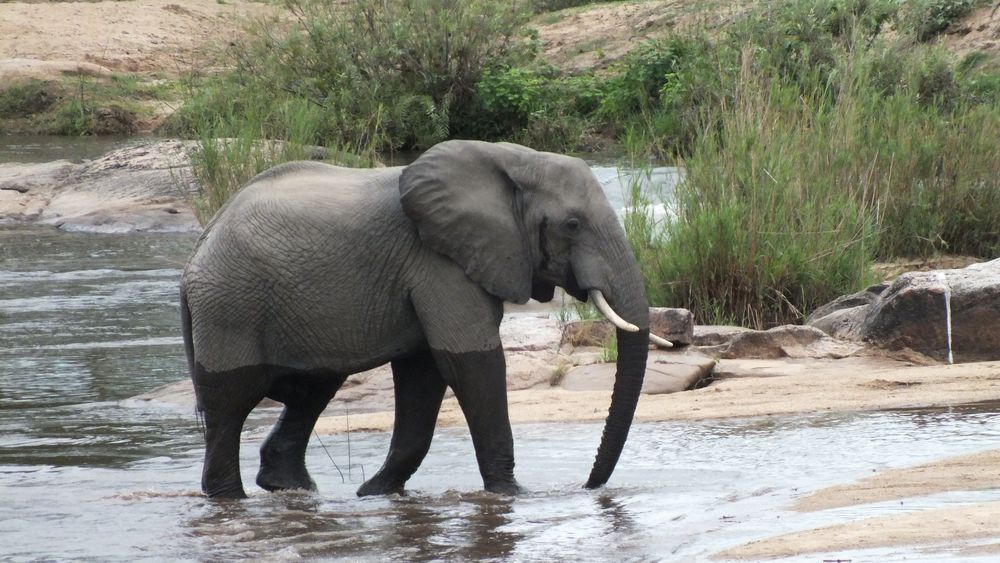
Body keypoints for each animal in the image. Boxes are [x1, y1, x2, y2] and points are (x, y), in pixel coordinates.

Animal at [182, 140, 664, 498]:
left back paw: (291, 488)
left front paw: (376, 493)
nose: (587, 486)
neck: (513, 160)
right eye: (572, 225)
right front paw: (511, 495)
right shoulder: (438, 262)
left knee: (312, 390)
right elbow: (471, 363)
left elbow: (425, 373)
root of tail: (199, 248)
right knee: (230, 401)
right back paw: (229, 498)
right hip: (230, 305)